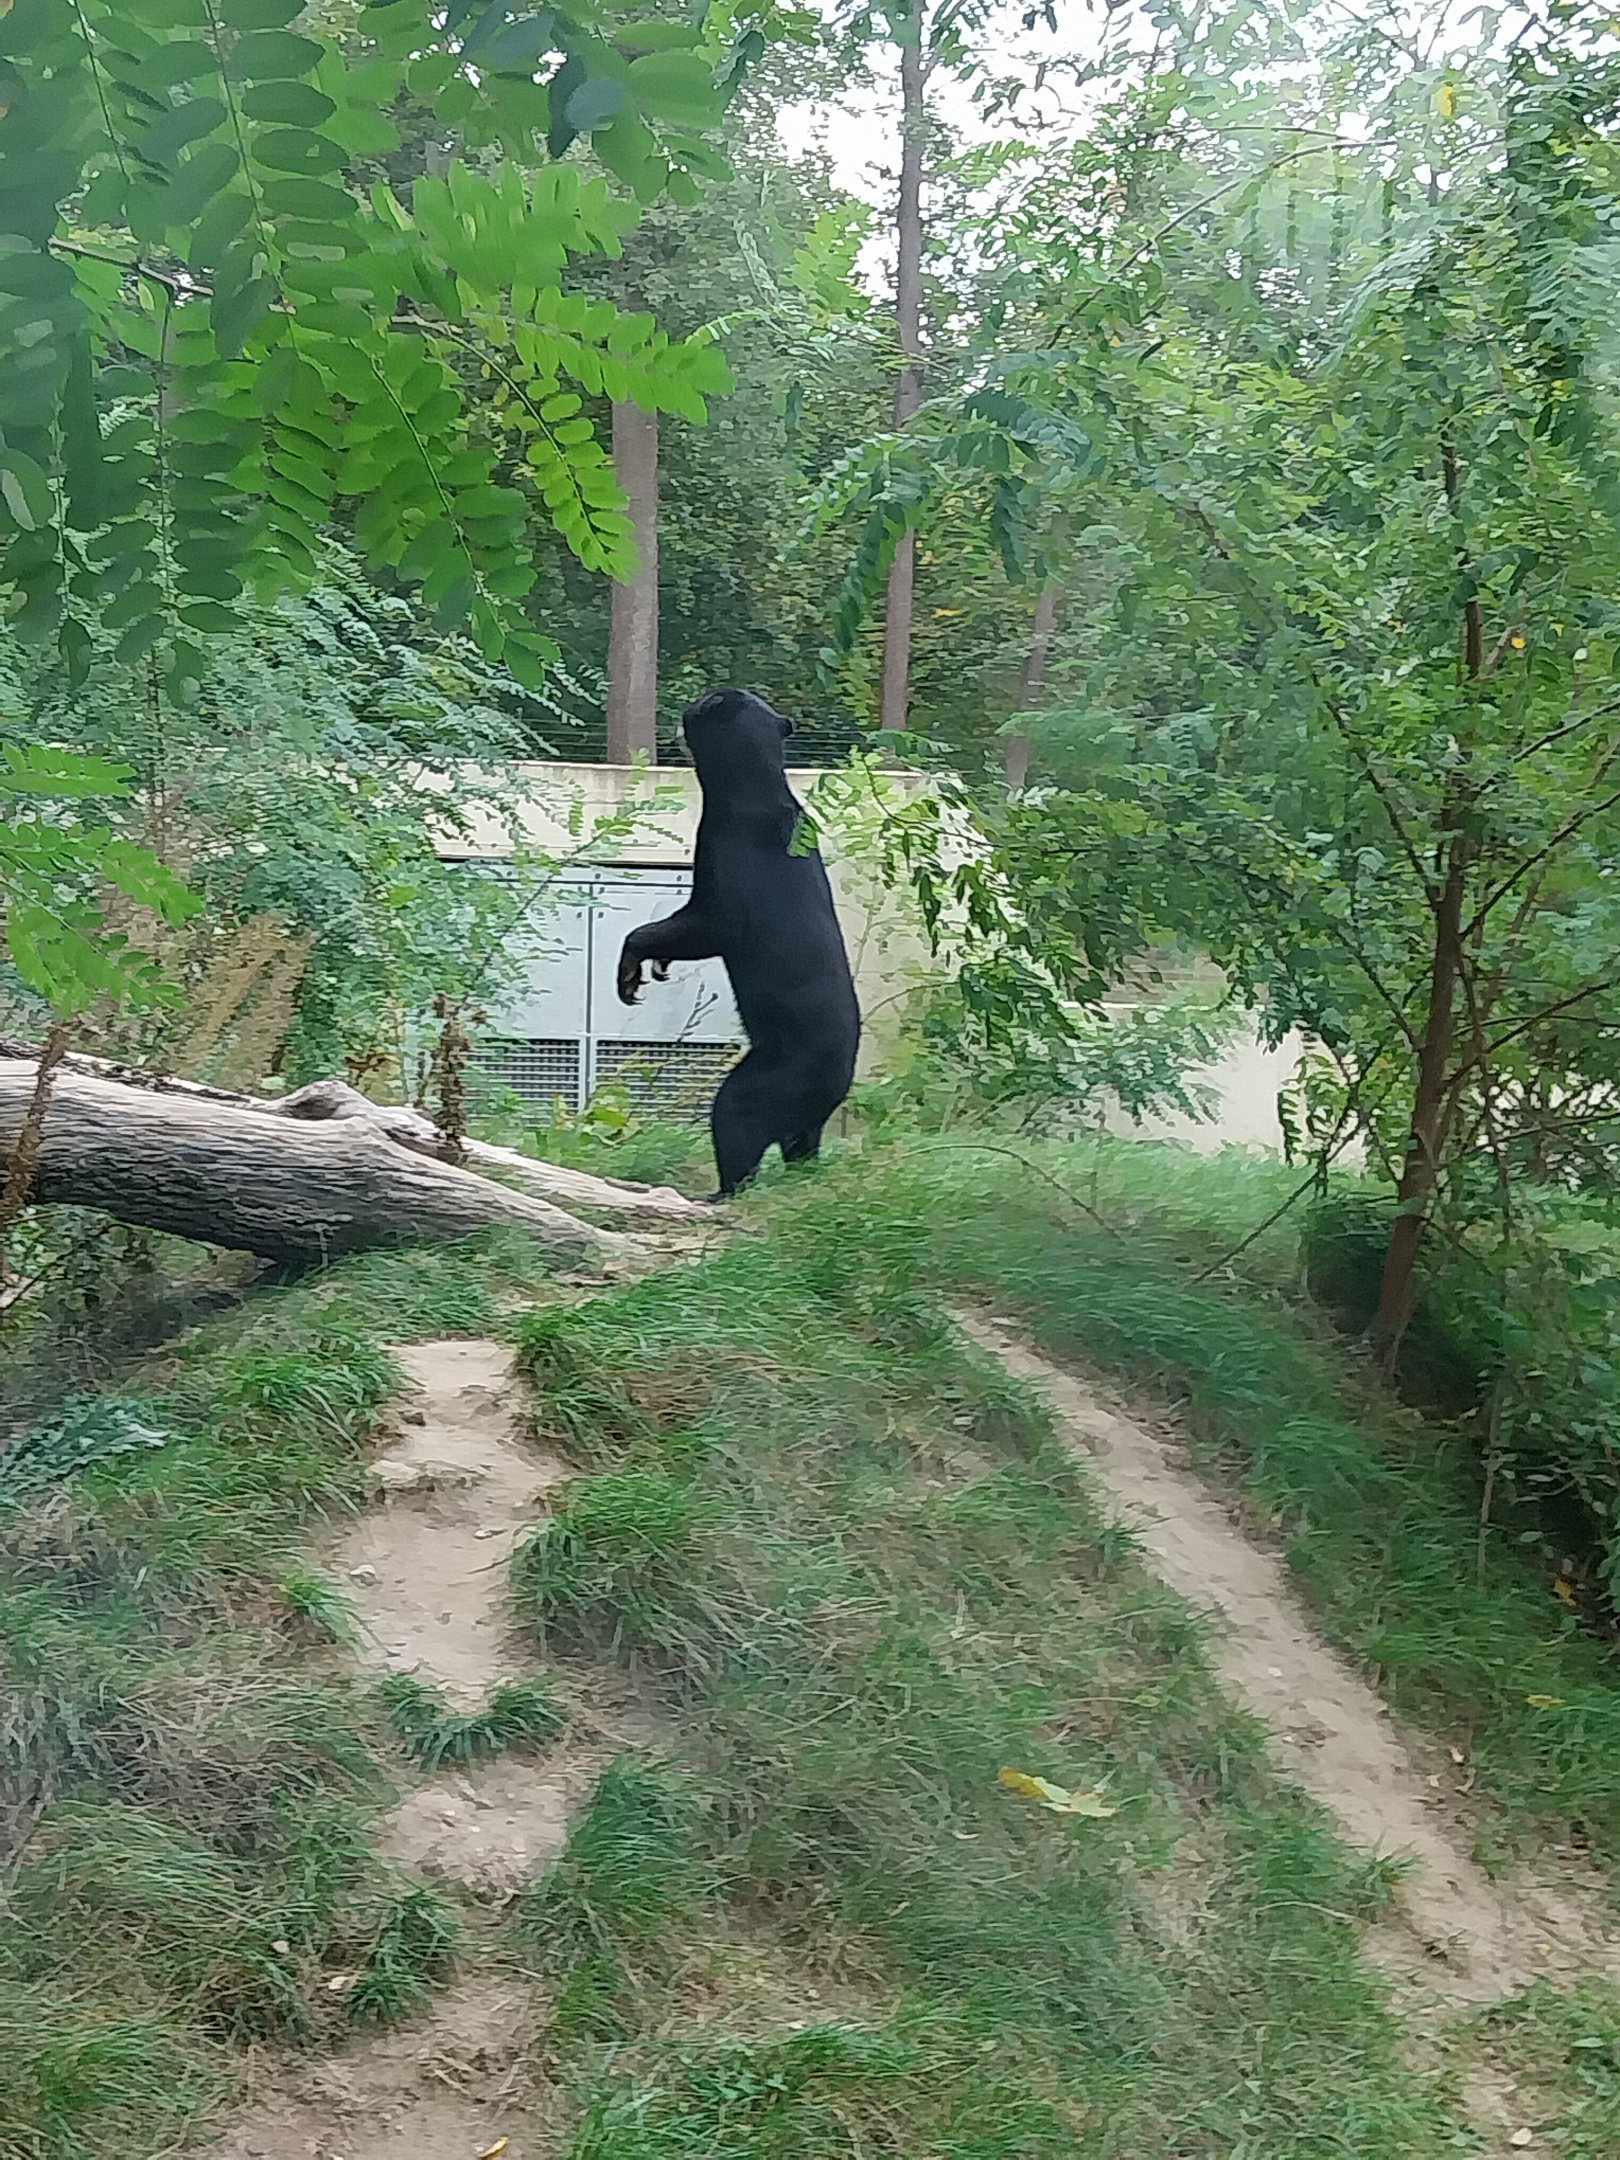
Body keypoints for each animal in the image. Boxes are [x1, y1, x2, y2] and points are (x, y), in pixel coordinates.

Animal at [616, 687, 861, 1199]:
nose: (688, 708)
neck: (752, 788)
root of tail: (839, 1084)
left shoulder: (719, 890)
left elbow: (689, 928)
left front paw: (631, 976)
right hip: (800, 1121)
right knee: (799, 1149)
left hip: (763, 1085)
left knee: (737, 1131)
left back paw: (714, 1194)